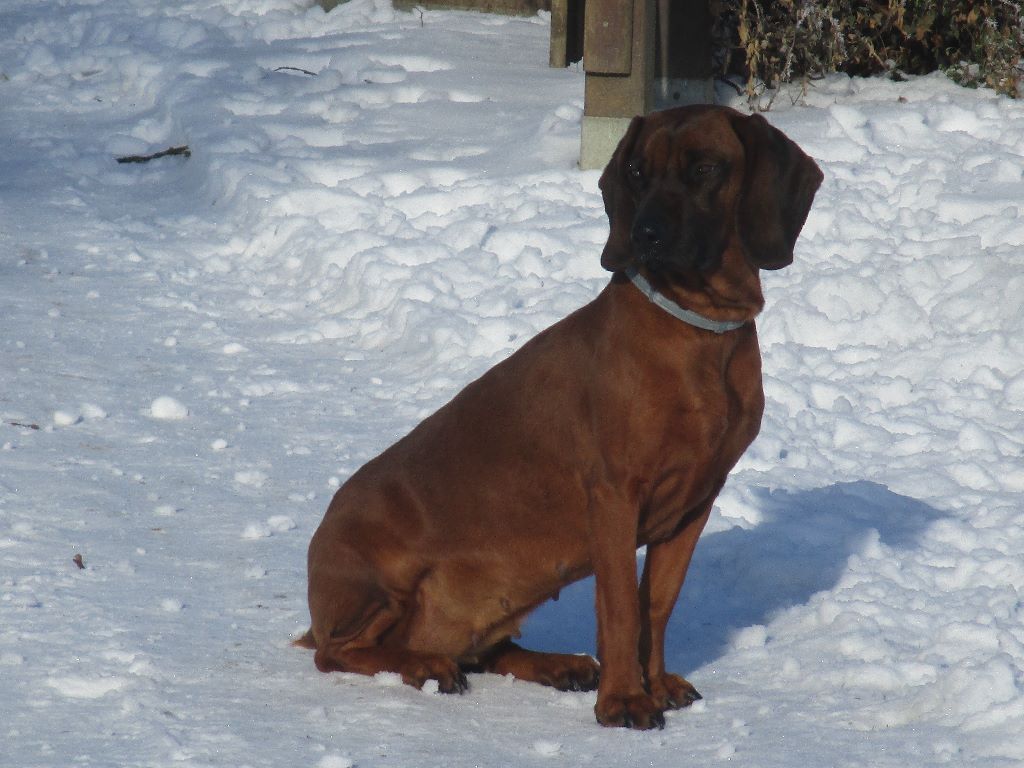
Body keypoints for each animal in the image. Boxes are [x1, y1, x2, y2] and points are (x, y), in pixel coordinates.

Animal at [299, 105, 823, 729]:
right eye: (638, 172)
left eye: (704, 168)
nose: (644, 234)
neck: (699, 332)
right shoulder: (615, 497)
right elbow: (621, 608)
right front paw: (625, 700)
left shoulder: (695, 504)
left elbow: (657, 606)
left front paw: (656, 683)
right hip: (384, 583)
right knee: (339, 652)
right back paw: (421, 664)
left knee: (486, 650)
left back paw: (555, 664)